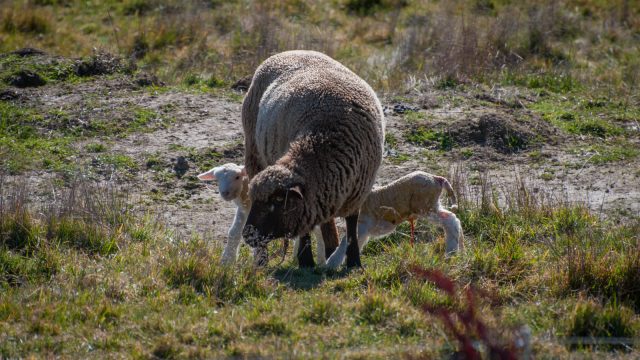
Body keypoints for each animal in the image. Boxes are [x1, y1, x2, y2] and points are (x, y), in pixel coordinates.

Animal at [241, 50, 384, 268]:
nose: (247, 235)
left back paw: (331, 250)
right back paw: (261, 260)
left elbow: (352, 227)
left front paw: (354, 262)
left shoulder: (357, 191)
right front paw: (306, 261)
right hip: (253, 152)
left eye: (277, 201)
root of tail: (287, 52)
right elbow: (305, 229)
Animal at [328, 172, 462, 270]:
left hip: (425, 207)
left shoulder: (362, 225)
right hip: (431, 206)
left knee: (450, 220)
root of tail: (437, 179)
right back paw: (455, 249)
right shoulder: (363, 228)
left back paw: (451, 251)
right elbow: (355, 241)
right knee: (453, 219)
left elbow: (346, 240)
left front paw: (331, 264)